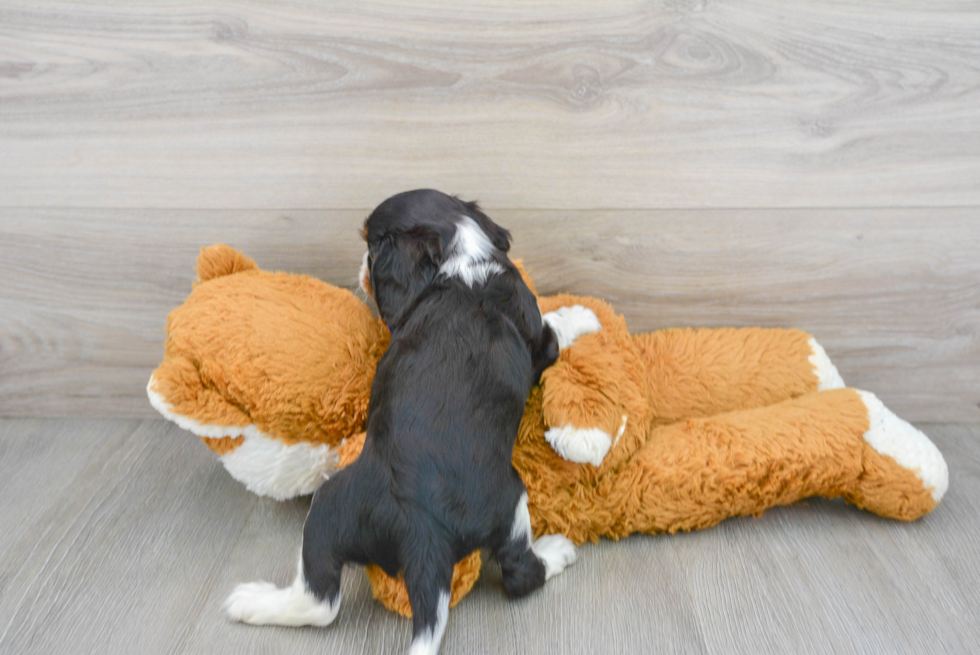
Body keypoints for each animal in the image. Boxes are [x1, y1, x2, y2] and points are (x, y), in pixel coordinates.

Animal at [228, 188, 596, 652]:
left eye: (368, 249)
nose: (360, 269)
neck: (459, 261)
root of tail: (421, 533)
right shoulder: (536, 334)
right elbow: (555, 327)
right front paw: (583, 314)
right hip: (508, 502)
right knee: (518, 572)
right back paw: (557, 551)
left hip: (331, 507)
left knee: (319, 598)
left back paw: (249, 601)